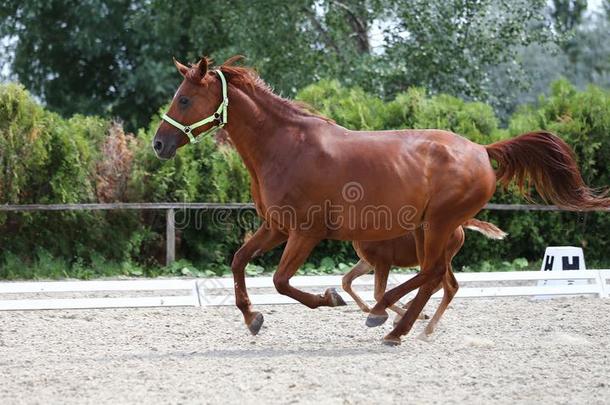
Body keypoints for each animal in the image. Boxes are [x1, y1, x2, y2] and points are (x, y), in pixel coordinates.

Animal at [152, 56, 608, 344]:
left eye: (185, 99)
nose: (159, 144)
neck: (284, 145)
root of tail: (481, 149)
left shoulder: (305, 233)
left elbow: (282, 281)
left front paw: (328, 299)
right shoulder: (276, 227)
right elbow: (239, 261)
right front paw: (252, 318)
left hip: (439, 225)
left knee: (433, 275)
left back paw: (384, 315)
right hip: (427, 230)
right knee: (435, 277)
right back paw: (396, 326)